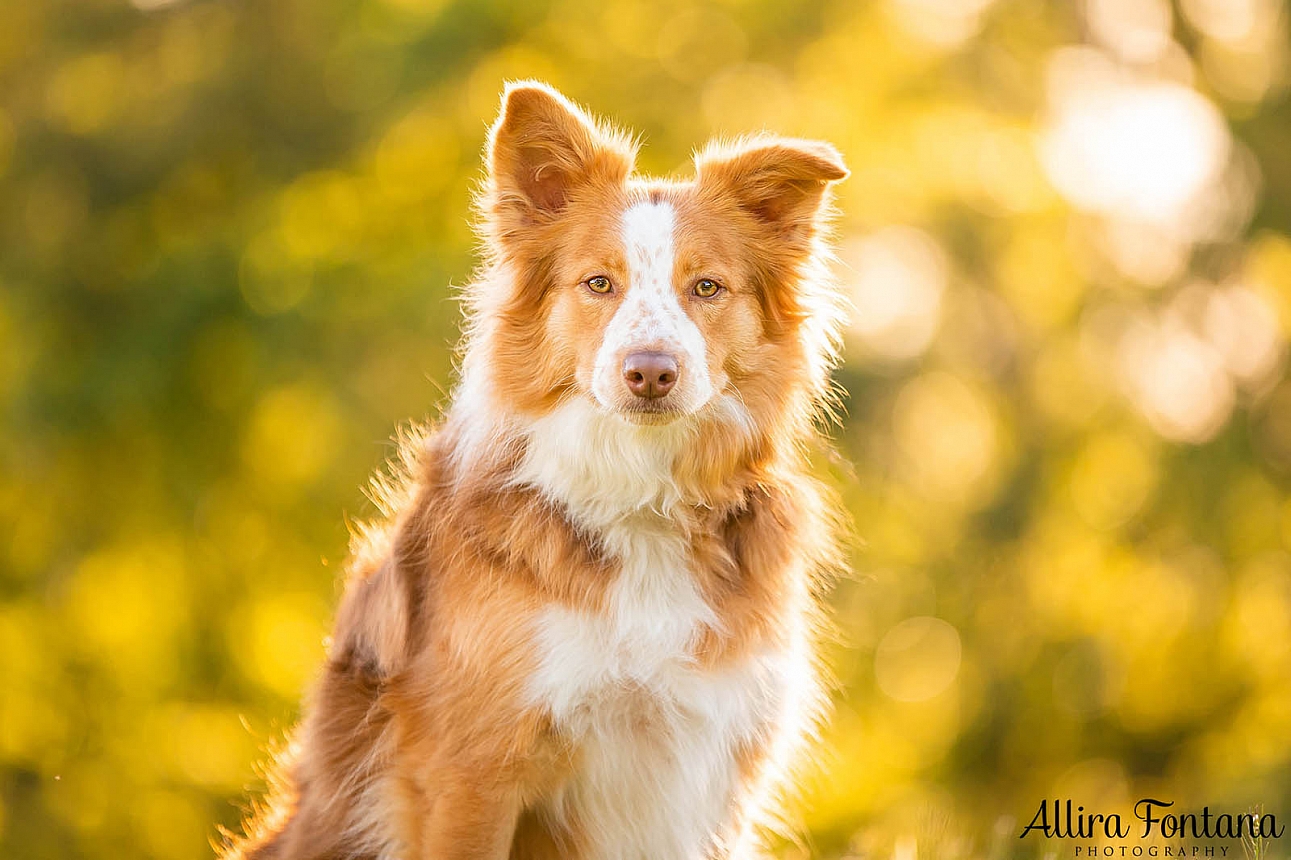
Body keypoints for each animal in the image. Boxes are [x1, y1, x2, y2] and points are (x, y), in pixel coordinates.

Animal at [222, 81, 846, 857]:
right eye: (598, 283)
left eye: (706, 288)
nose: (650, 372)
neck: (640, 500)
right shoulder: (470, 775)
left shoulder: (707, 774)